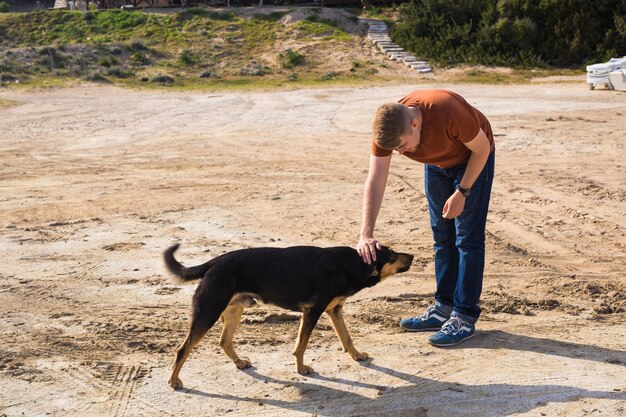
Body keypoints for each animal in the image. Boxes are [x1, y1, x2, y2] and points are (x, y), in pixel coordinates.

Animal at [163, 242, 412, 388]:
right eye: (391, 256)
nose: (411, 255)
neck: (354, 263)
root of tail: (214, 263)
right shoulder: (313, 311)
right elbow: (301, 345)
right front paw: (301, 369)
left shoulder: (334, 310)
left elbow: (347, 337)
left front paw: (357, 355)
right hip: (208, 313)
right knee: (182, 349)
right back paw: (174, 380)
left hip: (234, 310)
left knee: (224, 341)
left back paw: (239, 362)